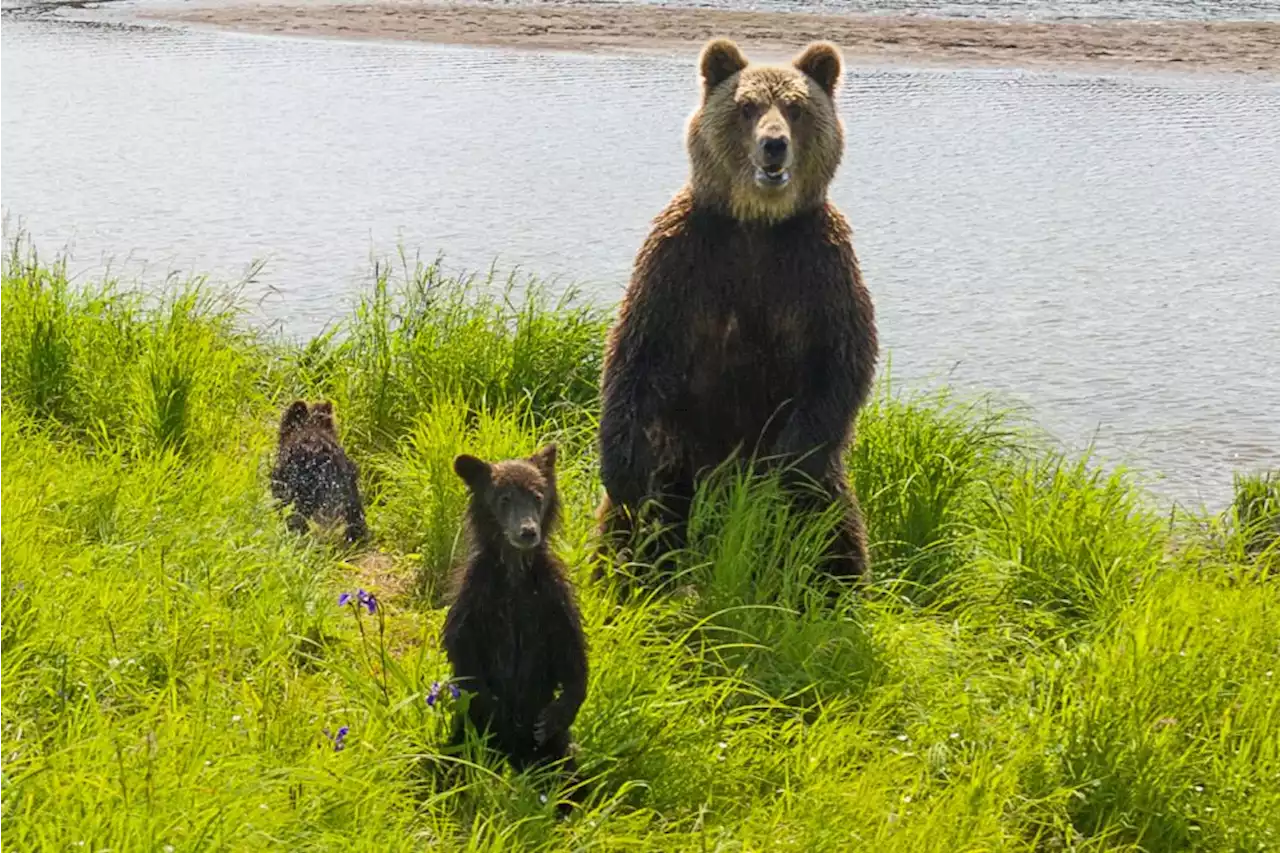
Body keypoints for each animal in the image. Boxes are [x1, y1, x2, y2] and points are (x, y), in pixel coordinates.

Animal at [442, 445, 586, 788]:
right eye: (504, 498)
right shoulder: (477, 594)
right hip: (463, 734)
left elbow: (571, 651)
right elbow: (462, 648)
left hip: (555, 751)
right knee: (451, 762)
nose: (527, 531)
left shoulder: (551, 597)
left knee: (572, 776)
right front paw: (496, 710)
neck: (515, 571)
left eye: (537, 495)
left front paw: (553, 716)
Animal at [593, 38, 875, 584]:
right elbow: (635, 352)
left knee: (837, 536)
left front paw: (786, 464)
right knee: (633, 527)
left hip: (827, 491)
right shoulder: (684, 260)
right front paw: (620, 467)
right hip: (677, 464)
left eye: (795, 107)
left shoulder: (818, 268)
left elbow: (841, 360)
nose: (774, 144)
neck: (757, 223)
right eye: (746, 107)